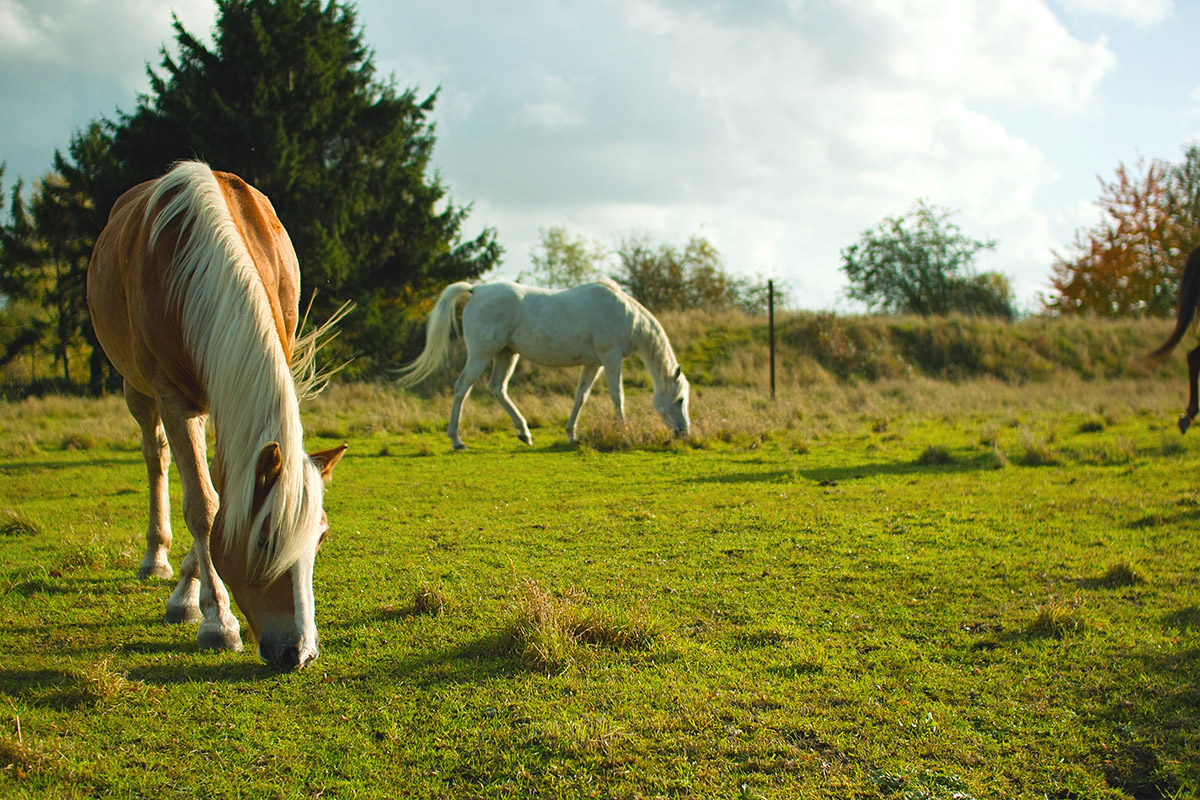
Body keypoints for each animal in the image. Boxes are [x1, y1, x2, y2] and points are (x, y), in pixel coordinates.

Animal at [83, 160, 348, 671]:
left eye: (321, 539)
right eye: (264, 541)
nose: (299, 653)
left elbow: (218, 496)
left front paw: (191, 593)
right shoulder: (172, 397)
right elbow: (203, 507)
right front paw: (217, 620)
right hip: (137, 390)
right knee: (156, 457)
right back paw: (157, 558)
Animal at [398, 280, 691, 450]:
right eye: (679, 400)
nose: (684, 432)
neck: (627, 316)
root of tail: (476, 290)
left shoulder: (593, 364)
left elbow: (581, 397)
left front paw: (572, 435)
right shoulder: (611, 357)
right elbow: (617, 396)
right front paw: (624, 433)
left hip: (506, 354)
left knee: (497, 388)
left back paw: (524, 432)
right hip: (481, 354)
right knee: (461, 388)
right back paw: (456, 440)